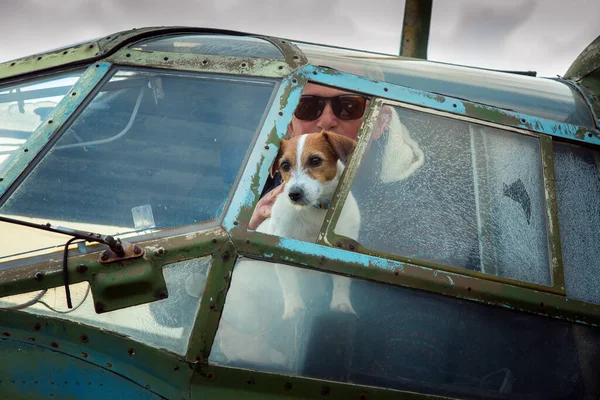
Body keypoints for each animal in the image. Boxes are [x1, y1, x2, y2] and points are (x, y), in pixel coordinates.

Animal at [254, 130, 358, 318]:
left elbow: (341, 280)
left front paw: (341, 304)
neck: (315, 210)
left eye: (315, 160)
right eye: (285, 165)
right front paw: (294, 309)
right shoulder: (282, 245)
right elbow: (289, 282)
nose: (294, 194)